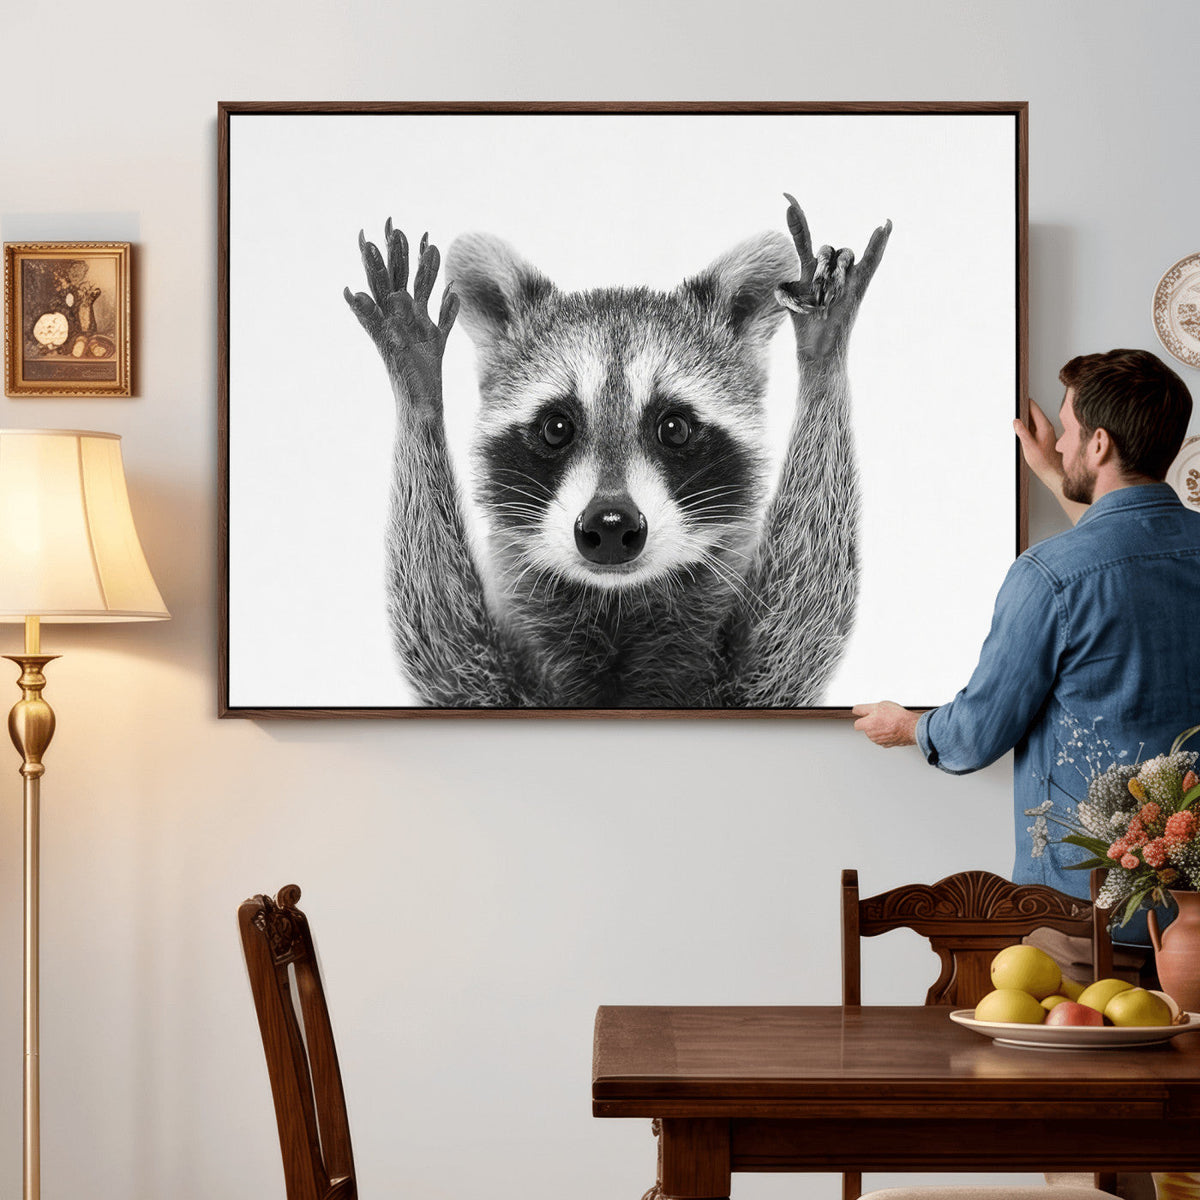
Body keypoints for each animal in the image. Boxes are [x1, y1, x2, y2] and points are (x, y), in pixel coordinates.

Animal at [344, 196, 891, 708]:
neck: (616, 607)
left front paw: (823, 353)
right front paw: (417, 385)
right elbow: (442, 646)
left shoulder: (752, 682)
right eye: (556, 428)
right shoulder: (491, 682)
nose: (609, 525)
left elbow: (801, 620)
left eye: (674, 428)